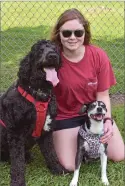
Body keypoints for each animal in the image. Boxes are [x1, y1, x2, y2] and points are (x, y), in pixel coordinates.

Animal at [0, 39, 61, 186]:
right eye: (39, 50)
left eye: (55, 49)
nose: (52, 56)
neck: (39, 94)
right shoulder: (15, 134)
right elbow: (17, 163)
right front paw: (18, 181)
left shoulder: (46, 131)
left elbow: (51, 153)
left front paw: (58, 169)